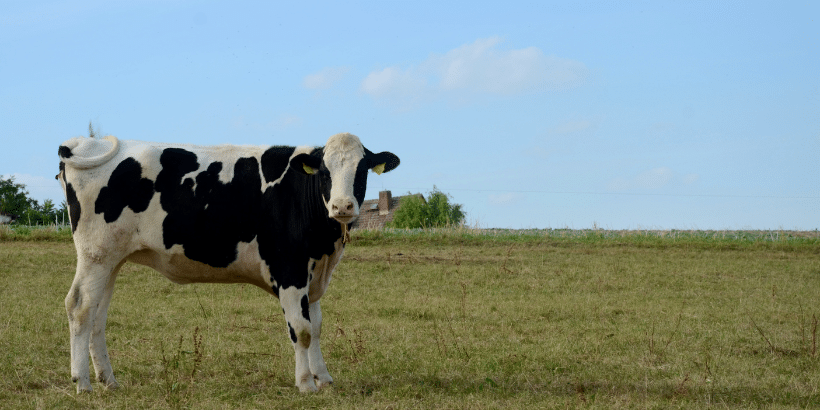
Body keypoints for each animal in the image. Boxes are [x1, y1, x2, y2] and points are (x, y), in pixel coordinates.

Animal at [57, 132, 399, 393]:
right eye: (325, 172)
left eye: (361, 170)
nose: (343, 206)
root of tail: (85, 142)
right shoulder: (290, 270)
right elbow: (301, 330)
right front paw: (305, 384)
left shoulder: (313, 275)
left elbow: (315, 327)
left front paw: (324, 378)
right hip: (95, 255)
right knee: (80, 307)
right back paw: (83, 383)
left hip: (111, 260)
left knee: (98, 315)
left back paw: (108, 380)